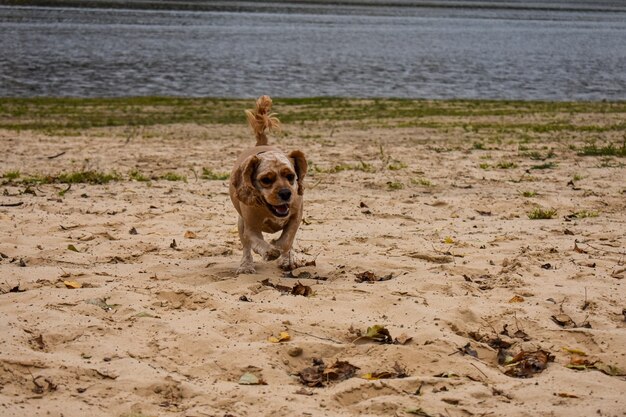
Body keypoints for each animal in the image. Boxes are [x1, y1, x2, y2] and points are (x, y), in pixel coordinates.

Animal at [229, 96, 308, 274]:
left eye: (291, 176)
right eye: (266, 180)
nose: (286, 193)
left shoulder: (296, 217)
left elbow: (287, 241)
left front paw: (280, 249)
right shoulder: (249, 226)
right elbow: (255, 242)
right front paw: (269, 251)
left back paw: (287, 260)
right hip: (240, 223)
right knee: (246, 248)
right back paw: (246, 266)